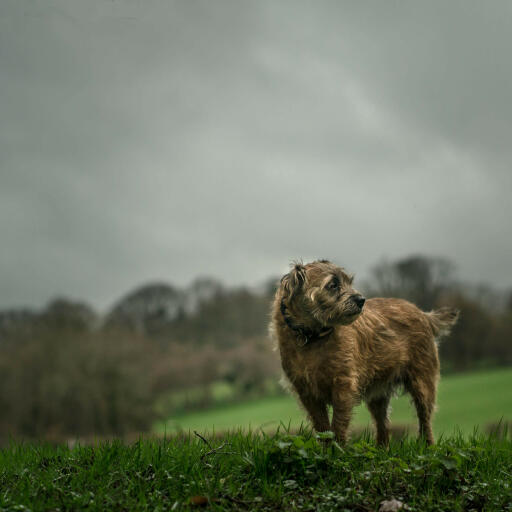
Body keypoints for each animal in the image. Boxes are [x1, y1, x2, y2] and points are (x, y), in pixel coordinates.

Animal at [272, 260, 460, 444]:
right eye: (333, 285)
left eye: (349, 282)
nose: (361, 299)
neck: (313, 338)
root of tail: (424, 314)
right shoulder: (307, 393)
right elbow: (323, 427)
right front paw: (327, 450)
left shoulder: (343, 387)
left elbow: (338, 424)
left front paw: (337, 449)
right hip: (378, 395)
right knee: (383, 426)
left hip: (422, 383)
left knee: (424, 420)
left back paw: (427, 446)